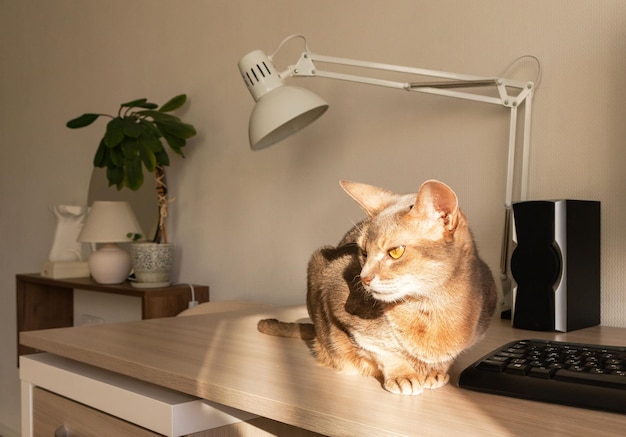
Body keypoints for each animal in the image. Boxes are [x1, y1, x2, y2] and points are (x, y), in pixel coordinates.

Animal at [256, 180, 494, 396]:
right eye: (363, 253)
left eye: (395, 252)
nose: (363, 278)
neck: (433, 307)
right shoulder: (339, 304)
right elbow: (380, 350)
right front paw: (402, 374)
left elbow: (450, 356)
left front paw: (436, 371)